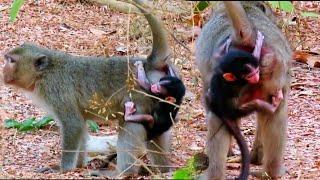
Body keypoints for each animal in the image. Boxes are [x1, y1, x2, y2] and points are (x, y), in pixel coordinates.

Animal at [2, 0, 176, 176]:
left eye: (11, 61)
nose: (4, 70)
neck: (44, 74)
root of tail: (148, 64)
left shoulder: (55, 91)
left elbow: (73, 124)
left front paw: (63, 168)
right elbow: (81, 126)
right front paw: (79, 164)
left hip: (141, 98)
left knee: (129, 123)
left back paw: (122, 172)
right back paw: (163, 170)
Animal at [206, 48, 276, 179]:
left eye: (256, 71)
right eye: (249, 75)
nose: (256, 76)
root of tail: (221, 111)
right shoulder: (236, 84)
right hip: (232, 110)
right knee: (245, 106)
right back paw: (269, 107)